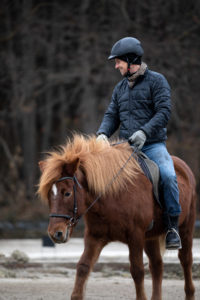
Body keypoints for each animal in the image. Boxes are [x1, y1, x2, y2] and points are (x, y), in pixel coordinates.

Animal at [38, 135, 196, 300]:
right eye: (49, 195)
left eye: (67, 193)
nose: (55, 233)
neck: (112, 195)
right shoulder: (94, 237)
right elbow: (83, 266)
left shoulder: (135, 236)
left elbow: (137, 271)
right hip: (150, 237)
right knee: (157, 265)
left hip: (186, 228)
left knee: (186, 260)